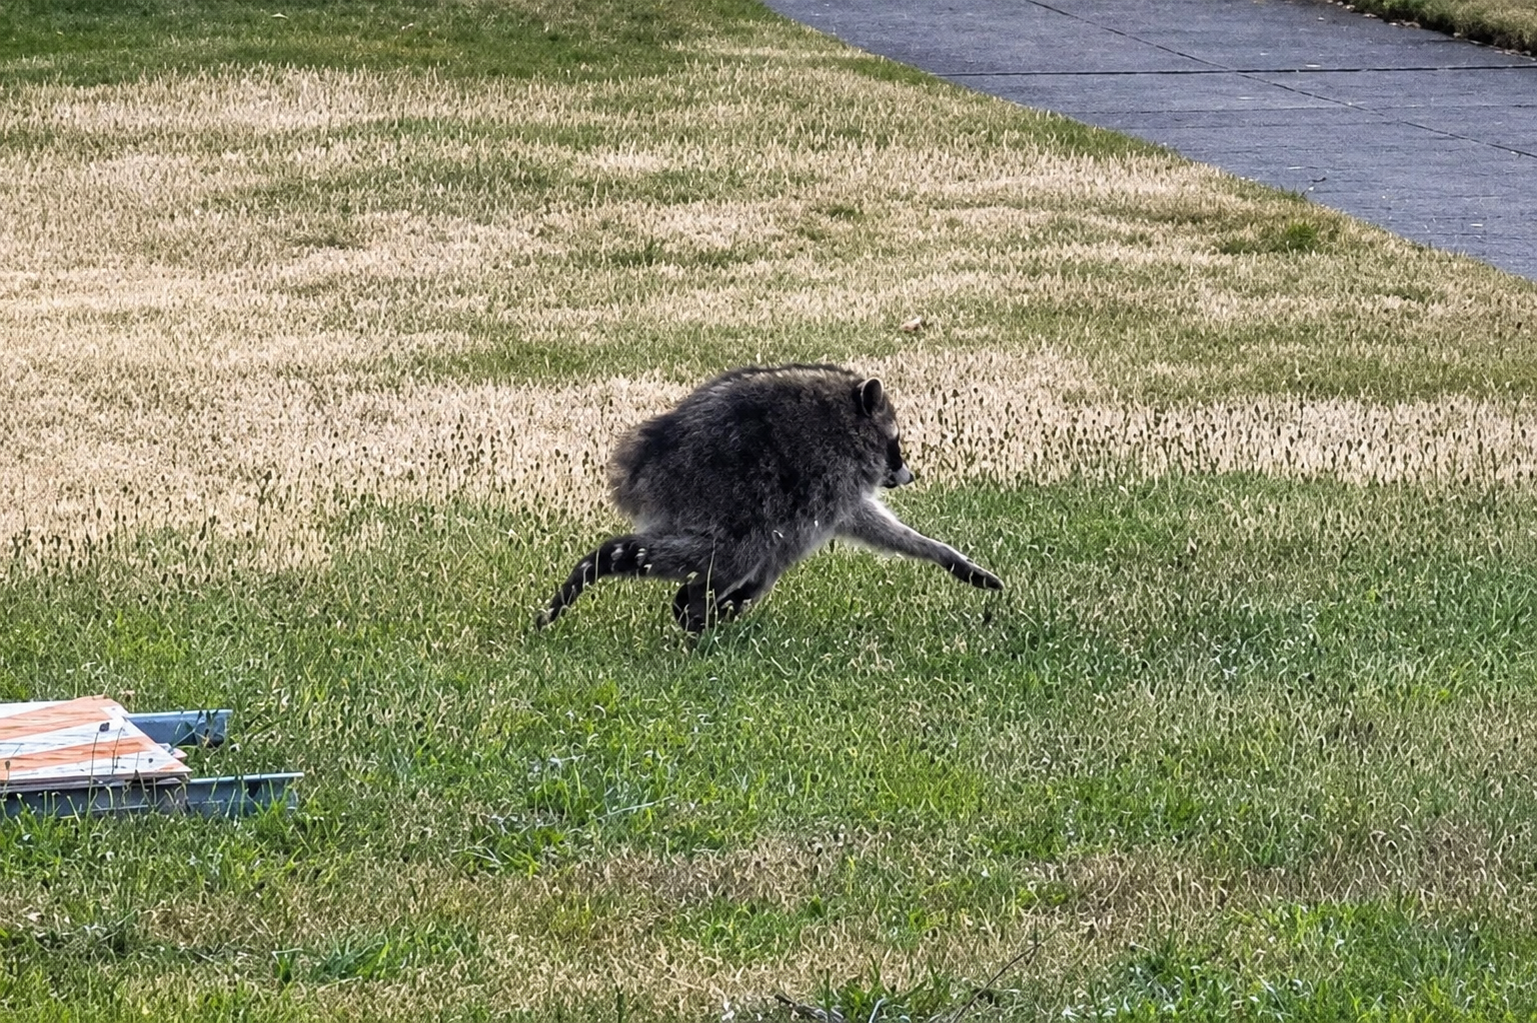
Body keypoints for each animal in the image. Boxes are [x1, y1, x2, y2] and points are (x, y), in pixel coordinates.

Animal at [537, 363, 1003, 633]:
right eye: (896, 442)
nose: (907, 474)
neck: (847, 416)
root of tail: (638, 461)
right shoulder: (828, 473)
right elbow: (800, 541)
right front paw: (743, 592)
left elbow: (866, 523)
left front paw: (939, 552)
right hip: (720, 487)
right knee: (739, 548)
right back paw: (687, 599)